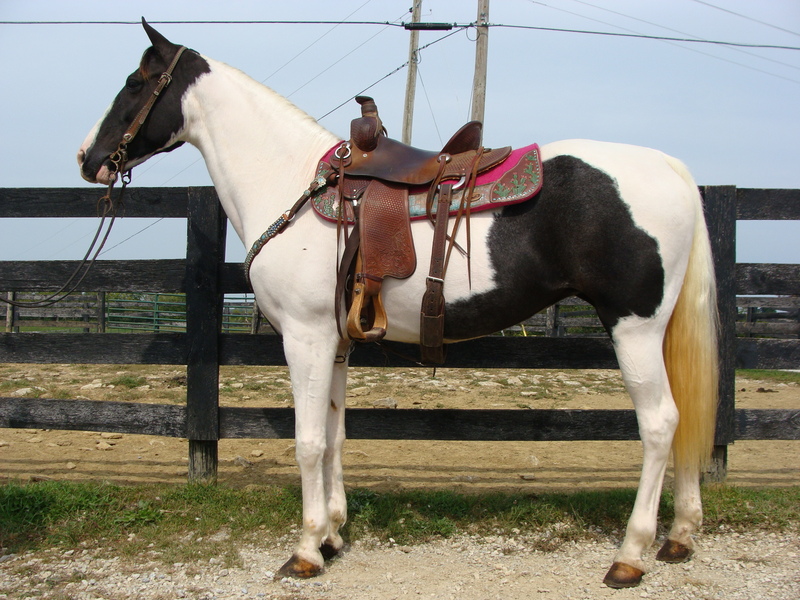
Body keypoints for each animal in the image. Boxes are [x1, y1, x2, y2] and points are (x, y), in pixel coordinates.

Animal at [77, 20, 719, 589]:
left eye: (135, 81)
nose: (88, 157)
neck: (290, 181)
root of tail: (669, 167)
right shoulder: (335, 343)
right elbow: (335, 435)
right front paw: (334, 536)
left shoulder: (306, 338)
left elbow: (308, 443)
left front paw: (305, 550)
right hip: (657, 331)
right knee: (686, 416)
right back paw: (680, 535)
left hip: (633, 328)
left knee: (661, 424)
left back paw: (630, 555)